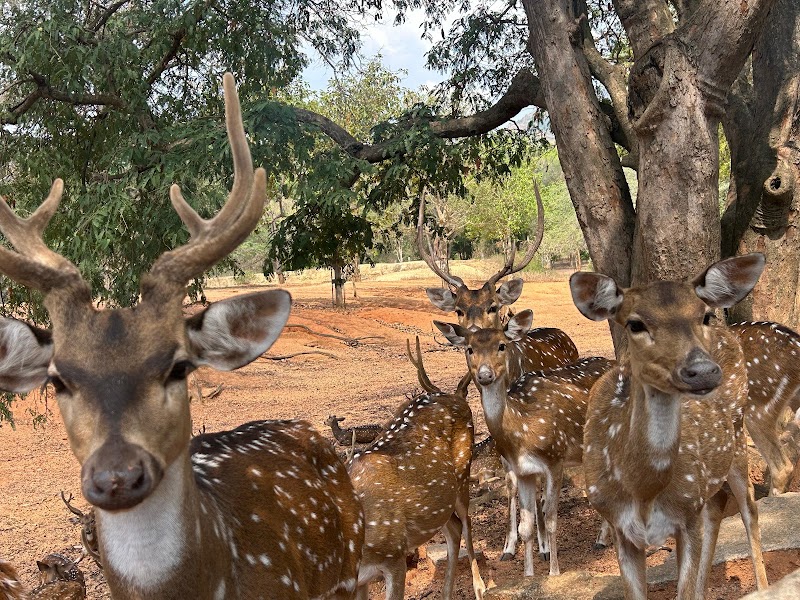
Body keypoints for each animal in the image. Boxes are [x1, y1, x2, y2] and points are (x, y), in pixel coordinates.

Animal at [349, 337, 485, 600]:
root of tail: (457, 397)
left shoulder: (394, 557)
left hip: (463, 472)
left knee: (466, 522)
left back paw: (481, 587)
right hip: (440, 500)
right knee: (454, 529)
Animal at [435, 311, 614, 577]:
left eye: (502, 345)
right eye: (469, 348)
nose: (485, 375)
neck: (522, 433)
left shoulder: (554, 459)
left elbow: (551, 520)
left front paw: (554, 572)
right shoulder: (523, 471)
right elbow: (526, 526)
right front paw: (528, 574)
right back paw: (603, 538)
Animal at [569, 253, 769, 599]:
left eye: (702, 315)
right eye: (635, 323)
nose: (702, 370)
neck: (643, 489)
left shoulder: (686, 514)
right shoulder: (620, 527)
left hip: (738, 434)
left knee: (749, 510)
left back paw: (764, 587)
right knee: (716, 505)